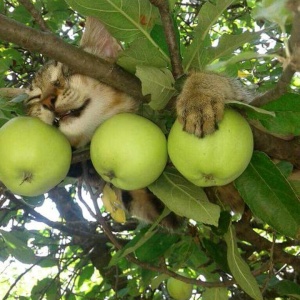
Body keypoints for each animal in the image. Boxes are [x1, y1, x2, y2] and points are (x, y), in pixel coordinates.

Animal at [24, 17, 252, 229]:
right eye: (34, 98)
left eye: (68, 71)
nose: (47, 102)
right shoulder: (158, 207)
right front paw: (80, 167)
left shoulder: (247, 105)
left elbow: (215, 79)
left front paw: (198, 98)